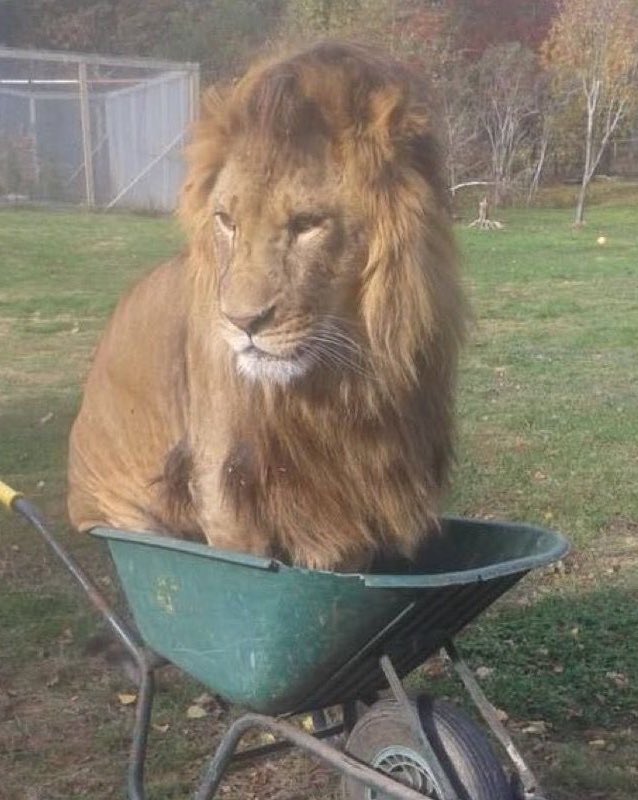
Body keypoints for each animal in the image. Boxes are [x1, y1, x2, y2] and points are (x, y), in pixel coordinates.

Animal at [67, 42, 467, 572]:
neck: (336, 387)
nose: (242, 322)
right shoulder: (225, 489)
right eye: (226, 220)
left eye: (308, 224)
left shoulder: (351, 505)